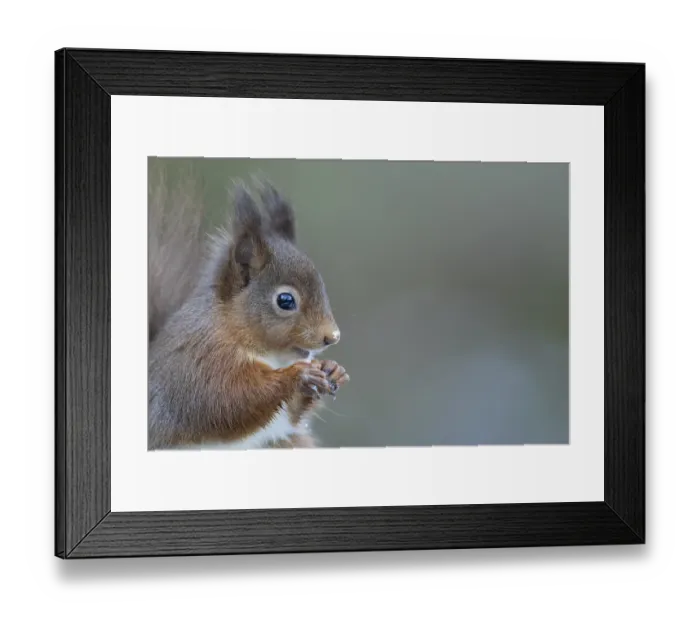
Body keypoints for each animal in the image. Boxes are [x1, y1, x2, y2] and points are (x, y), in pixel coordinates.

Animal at [147, 172, 349, 450]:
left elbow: (289, 415)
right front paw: (297, 375)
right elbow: (227, 402)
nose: (332, 337)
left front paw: (332, 369)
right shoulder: (198, 363)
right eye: (285, 300)